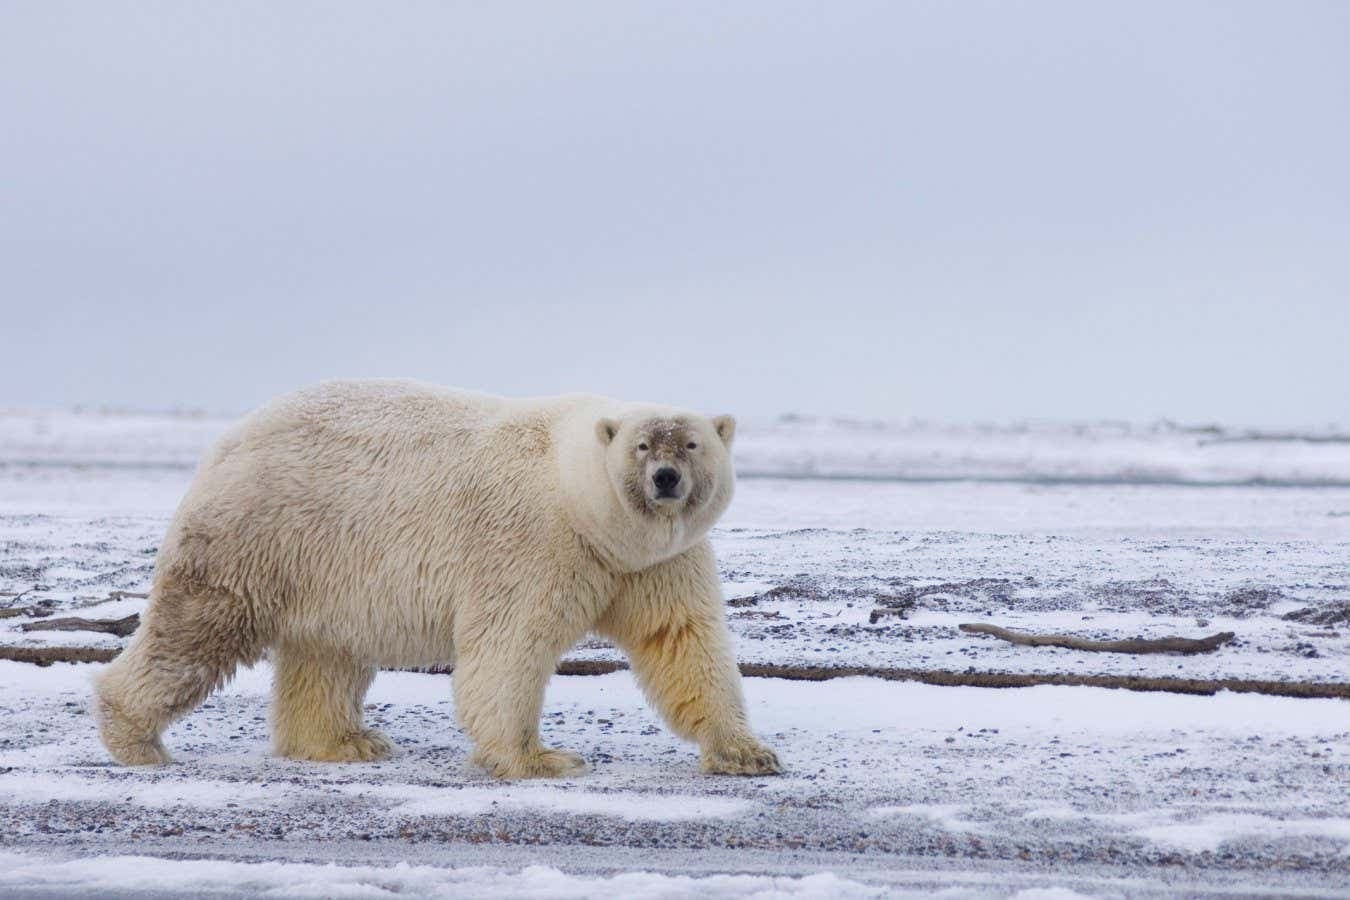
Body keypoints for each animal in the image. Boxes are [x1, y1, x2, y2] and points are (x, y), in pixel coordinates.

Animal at [95, 379, 782, 779]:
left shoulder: (653, 563)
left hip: (328, 566)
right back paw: (135, 738)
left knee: (329, 654)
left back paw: (347, 742)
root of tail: (228, 439)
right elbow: (508, 648)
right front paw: (541, 757)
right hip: (260, 535)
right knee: (198, 630)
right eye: (642, 446)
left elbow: (682, 641)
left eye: (691, 444)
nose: (666, 479)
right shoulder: (537, 544)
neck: (579, 495)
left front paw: (748, 753)